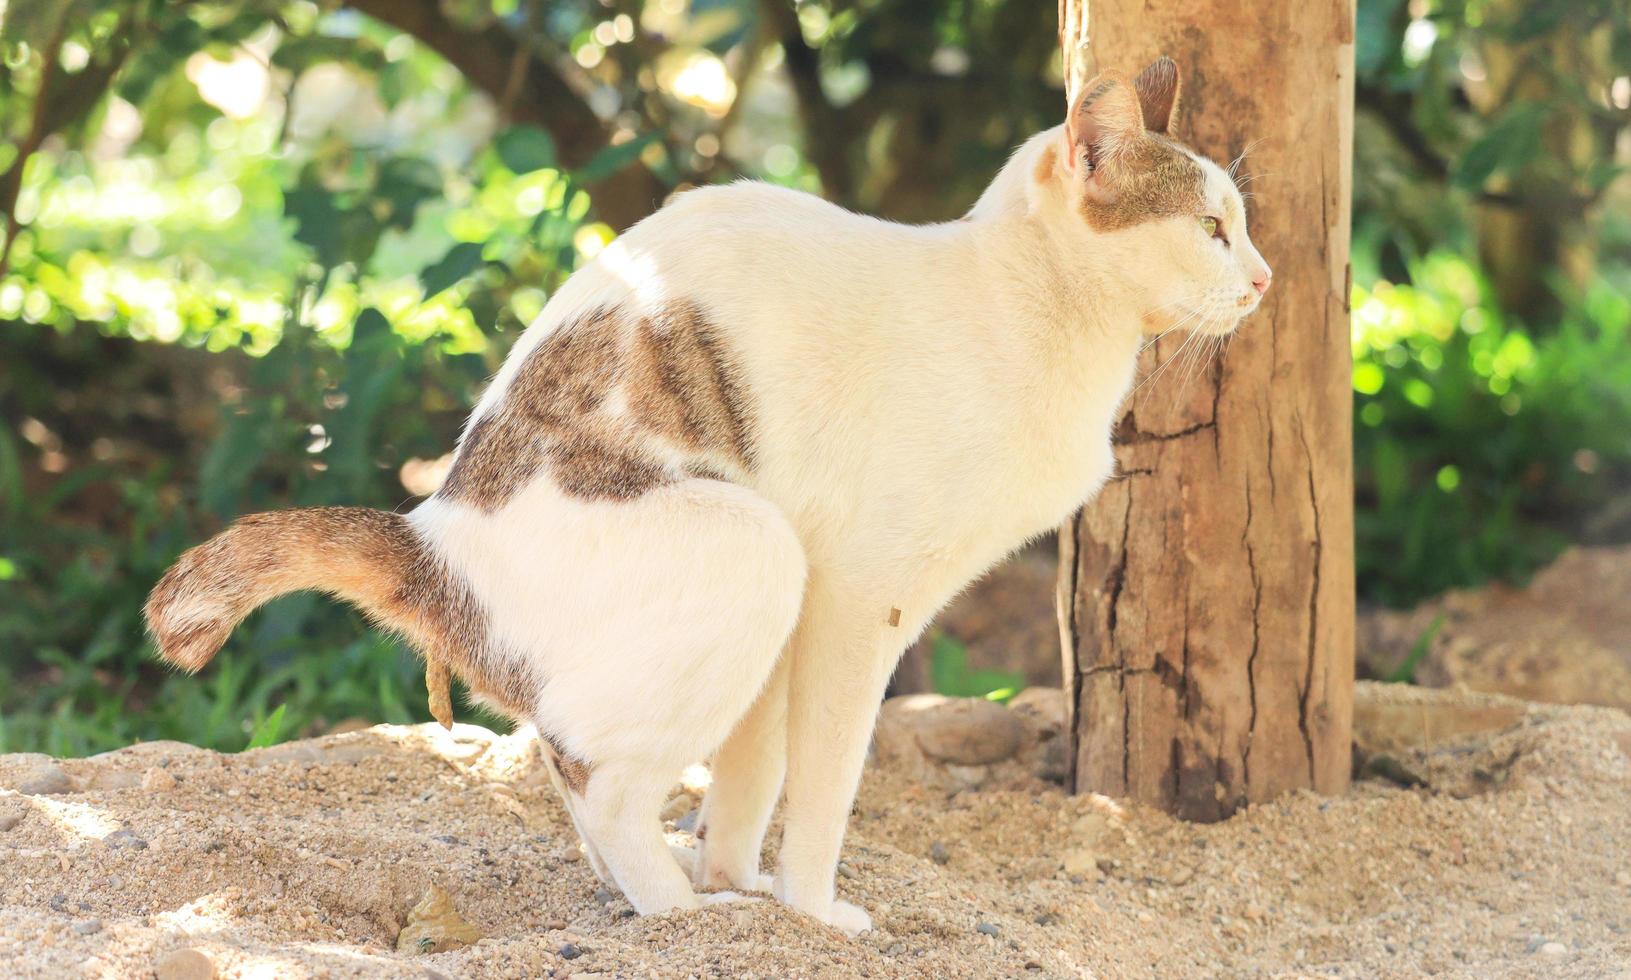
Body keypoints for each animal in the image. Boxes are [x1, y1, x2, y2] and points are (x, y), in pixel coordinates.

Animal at [150, 59, 1272, 932]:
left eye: (1240, 225)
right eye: (1209, 228)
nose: (1264, 279)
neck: (1031, 313)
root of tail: (434, 535)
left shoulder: (819, 621)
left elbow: (750, 783)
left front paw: (753, 893)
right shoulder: (856, 601)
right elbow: (823, 785)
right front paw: (811, 913)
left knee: (584, 762)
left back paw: (689, 896)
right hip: (756, 552)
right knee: (595, 779)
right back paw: (677, 914)